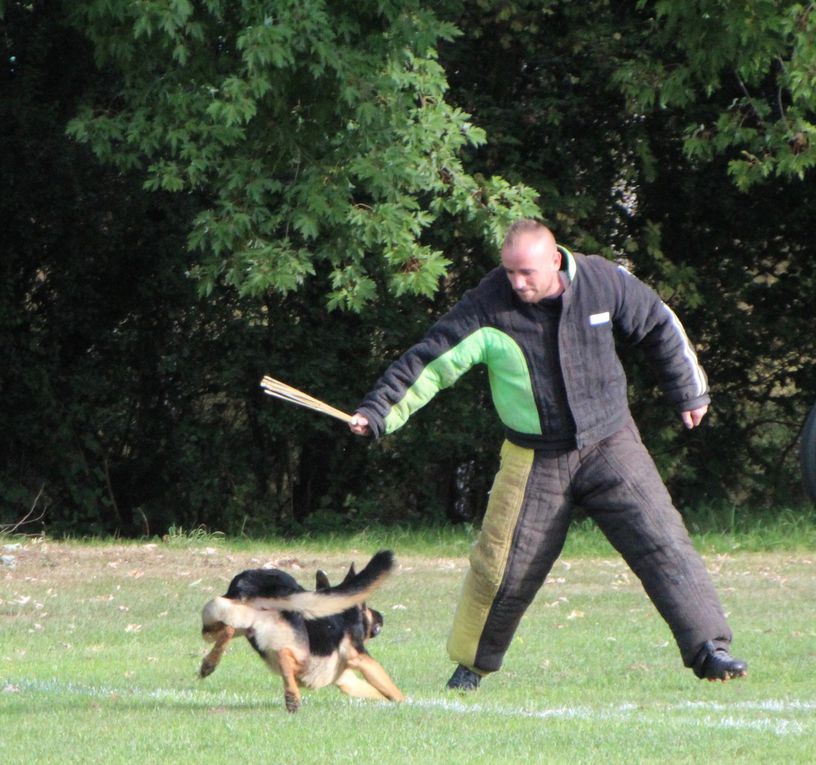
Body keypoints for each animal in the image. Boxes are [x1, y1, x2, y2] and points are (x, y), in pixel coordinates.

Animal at [201, 548, 404, 712]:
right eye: (366, 606)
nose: (381, 617)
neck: (345, 615)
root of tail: (255, 583)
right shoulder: (360, 658)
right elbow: (393, 690)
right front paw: (406, 703)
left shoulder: (346, 680)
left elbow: (380, 693)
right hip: (299, 654)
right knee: (283, 656)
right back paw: (292, 698)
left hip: (225, 618)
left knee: (227, 630)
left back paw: (209, 663)